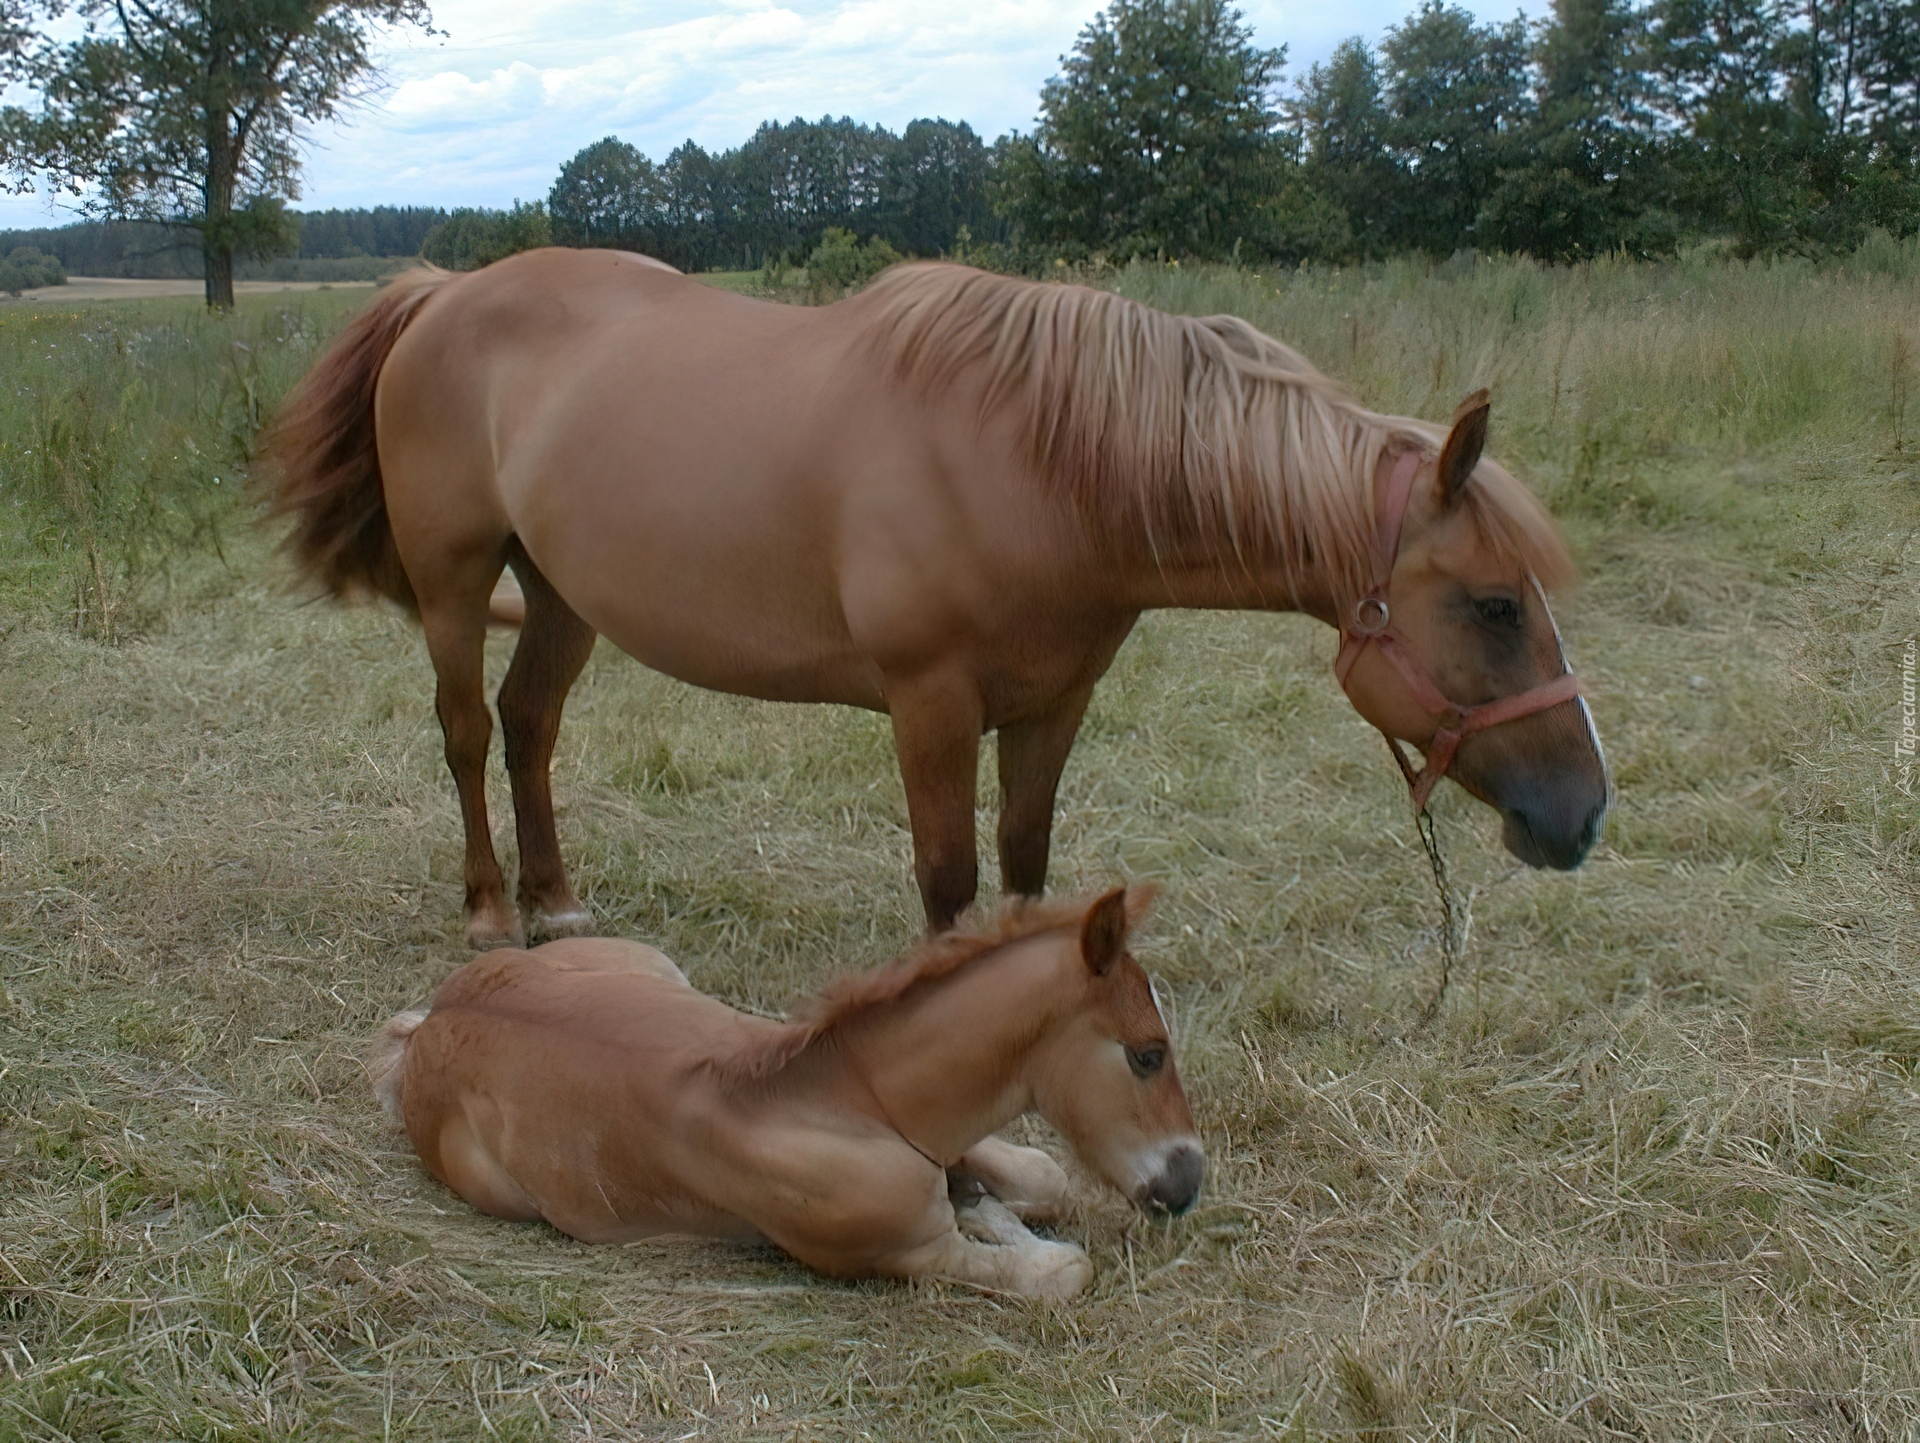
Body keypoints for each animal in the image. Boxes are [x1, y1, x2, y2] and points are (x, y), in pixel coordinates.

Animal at [255, 247, 1605, 947]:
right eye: (1495, 605)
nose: (1583, 816)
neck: (1039, 463)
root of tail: (444, 289)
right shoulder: (931, 707)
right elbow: (949, 885)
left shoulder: (1053, 704)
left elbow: (1025, 865)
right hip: (454, 585)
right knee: (466, 731)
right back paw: (491, 913)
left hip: (563, 595)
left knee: (530, 726)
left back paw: (559, 906)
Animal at [370, 886, 1198, 1304]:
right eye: (1147, 1053)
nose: (1188, 1182)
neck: (851, 1102)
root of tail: (432, 1020)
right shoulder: (902, 1253)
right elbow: (1060, 1270)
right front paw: (1012, 1231)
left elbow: (1044, 1176)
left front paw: (990, 1203)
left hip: (657, 965)